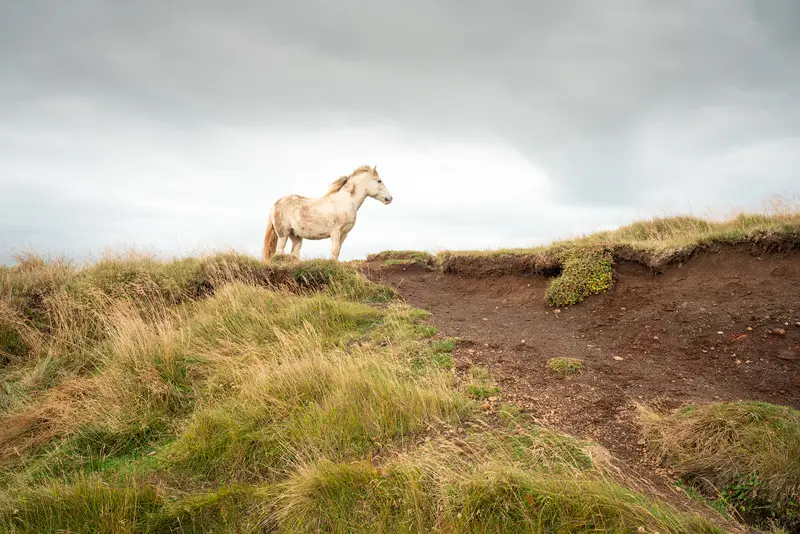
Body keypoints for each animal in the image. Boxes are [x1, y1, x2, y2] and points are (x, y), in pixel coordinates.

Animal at [262, 165, 393, 261]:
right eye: (379, 181)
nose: (389, 198)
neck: (345, 201)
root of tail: (275, 205)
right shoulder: (335, 232)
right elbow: (334, 251)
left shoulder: (344, 234)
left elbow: (338, 251)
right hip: (283, 234)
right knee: (279, 252)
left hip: (296, 236)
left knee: (294, 254)